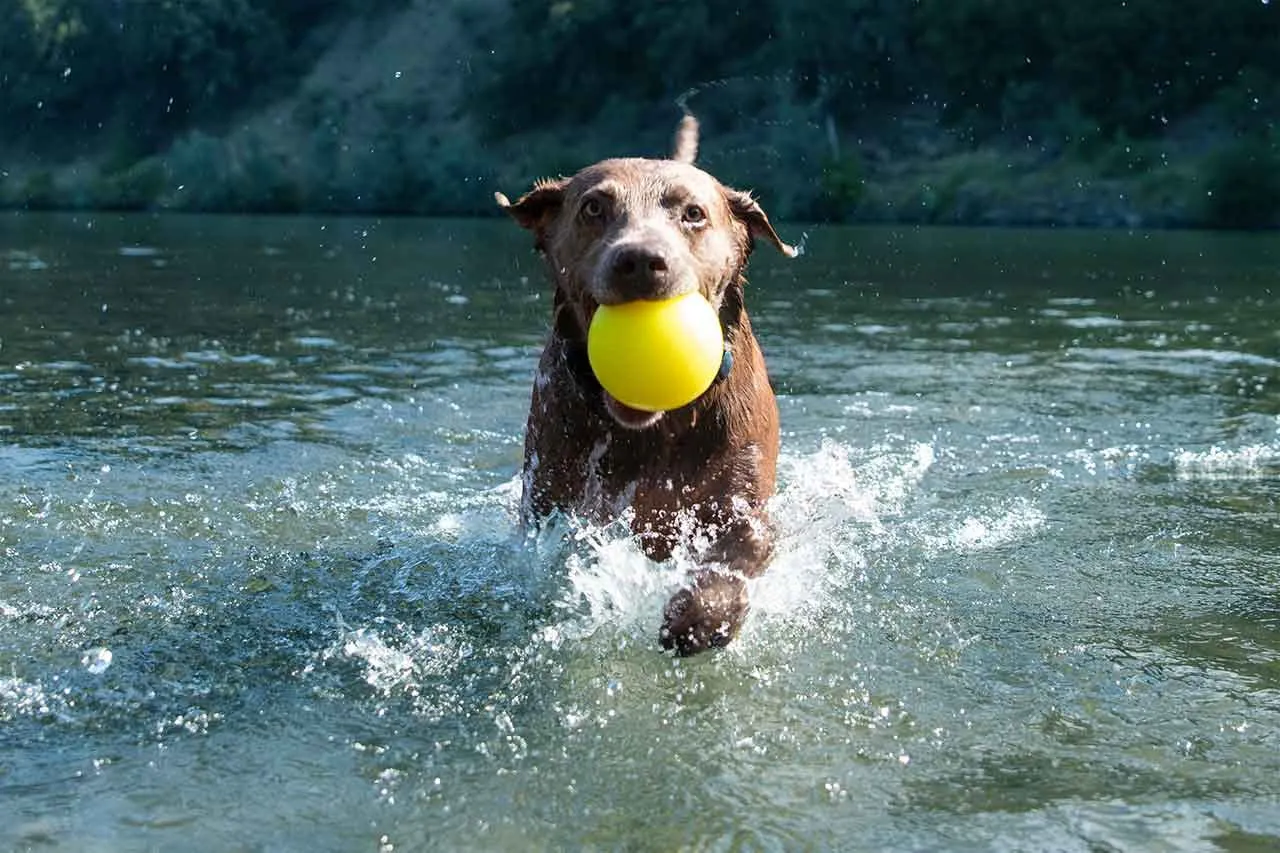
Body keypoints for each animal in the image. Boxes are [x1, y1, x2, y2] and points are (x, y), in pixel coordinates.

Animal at [494, 117, 793, 650]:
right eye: (594, 207)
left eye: (693, 214)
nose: (639, 260)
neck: (657, 427)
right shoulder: (554, 497)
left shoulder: (741, 492)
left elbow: (745, 543)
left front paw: (702, 615)